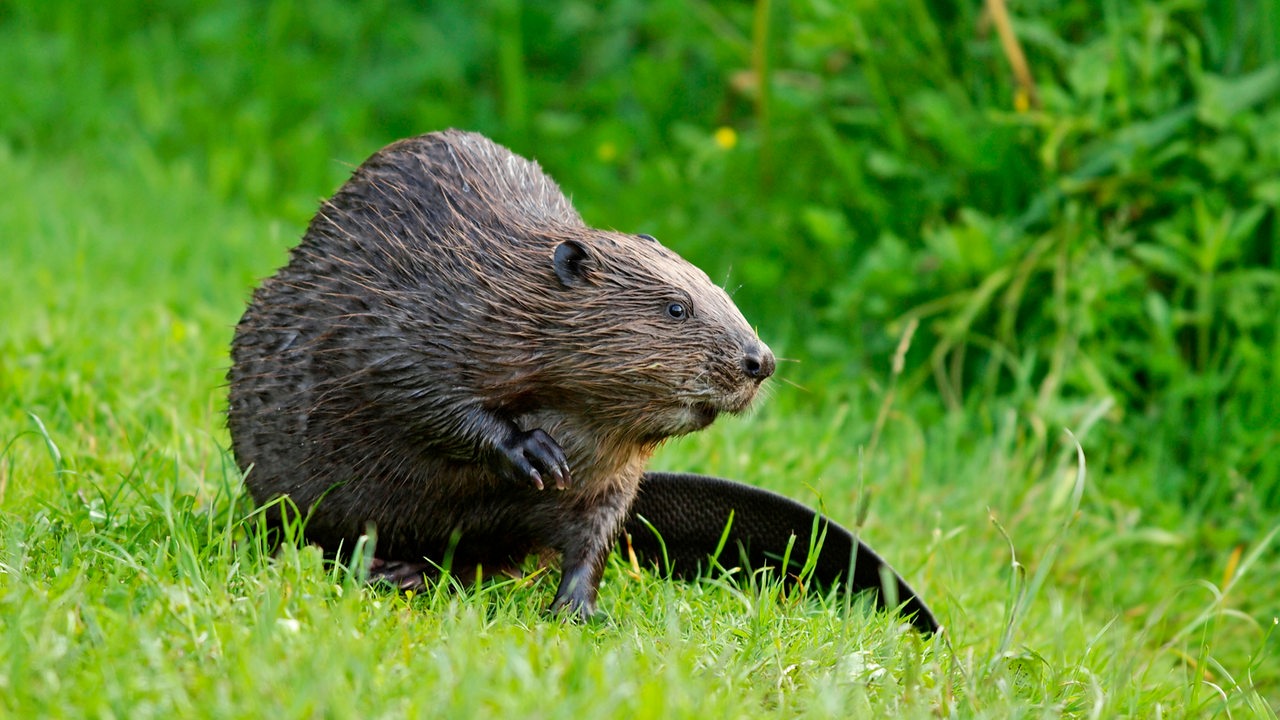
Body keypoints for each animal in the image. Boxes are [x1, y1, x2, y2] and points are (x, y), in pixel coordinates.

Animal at [225, 128, 936, 627]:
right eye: (677, 307)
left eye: (718, 292)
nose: (758, 362)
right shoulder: (414, 313)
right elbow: (415, 390)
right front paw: (534, 452)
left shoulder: (615, 471)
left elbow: (593, 529)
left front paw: (580, 608)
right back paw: (375, 567)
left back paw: (413, 573)